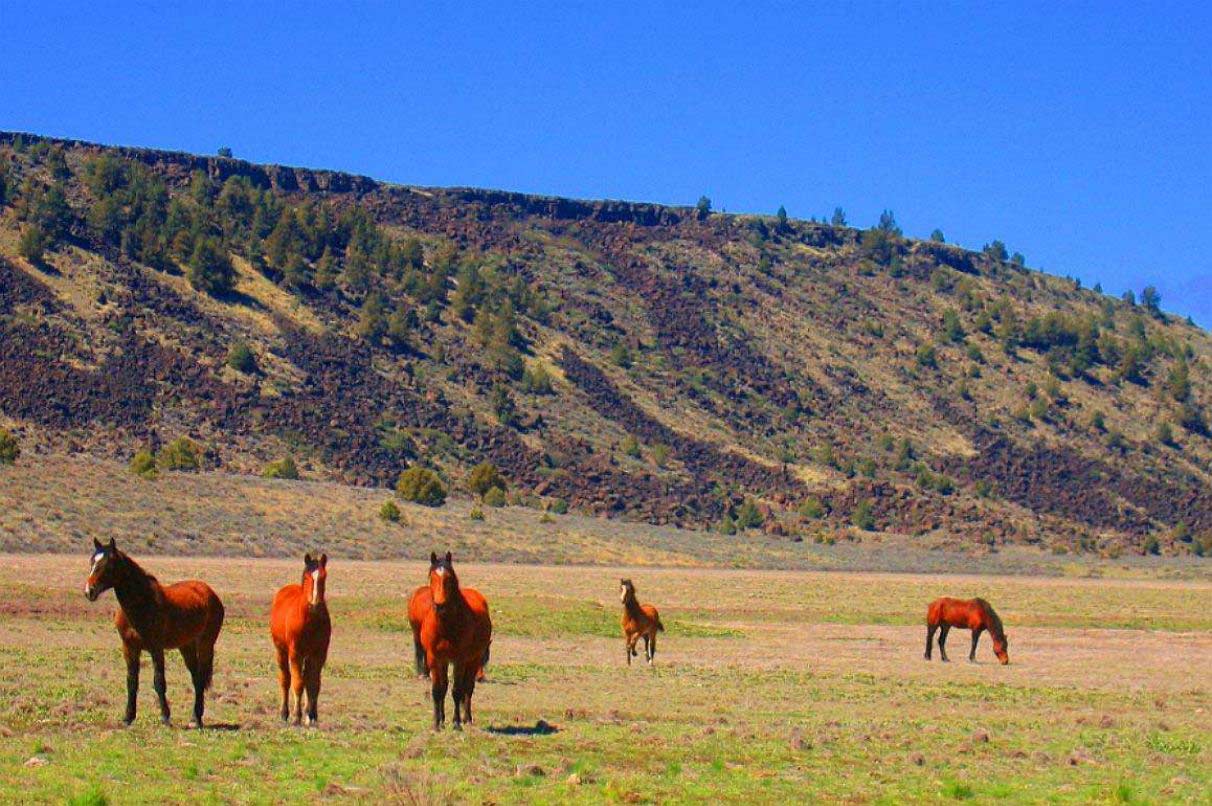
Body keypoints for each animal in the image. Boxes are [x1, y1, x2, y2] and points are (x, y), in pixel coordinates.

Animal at [84, 538, 226, 727]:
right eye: (92, 561)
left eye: (109, 564)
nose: (89, 591)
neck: (141, 604)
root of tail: (209, 592)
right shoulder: (129, 648)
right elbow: (131, 681)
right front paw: (128, 717)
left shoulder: (156, 648)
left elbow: (159, 681)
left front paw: (165, 717)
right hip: (186, 646)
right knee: (196, 678)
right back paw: (194, 717)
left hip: (205, 644)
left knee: (201, 677)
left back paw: (197, 719)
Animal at [270, 552, 332, 722]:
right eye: (306, 577)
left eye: (324, 576)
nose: (315, 604)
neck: (310, 619)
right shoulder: (296, 653)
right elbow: (298, 683)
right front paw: (297, 716)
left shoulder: (319, 654)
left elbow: (314, 684)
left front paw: (312, 716)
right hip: (281, 651)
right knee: (286, 679)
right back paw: (284, 713)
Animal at [416, 552, 492, 727]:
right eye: (432, 578)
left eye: (449, 578)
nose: (440, 605)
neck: (446, 627)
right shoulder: (435, 658)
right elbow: (438, 690)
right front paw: (437, 722)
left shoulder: (459, 659)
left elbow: (457, 690)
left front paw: (456, 722)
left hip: (473, 659)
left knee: (468, 687)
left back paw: (467, 718)